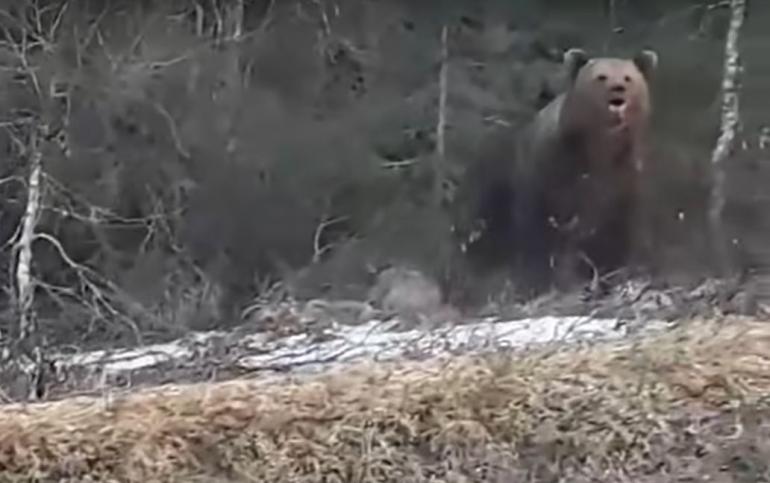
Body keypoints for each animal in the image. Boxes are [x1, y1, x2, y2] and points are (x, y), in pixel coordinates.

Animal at [511, 47, 658, 295]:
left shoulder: (626, 179)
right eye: (601, 77)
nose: (617, 88)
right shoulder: (559, 173)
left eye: (628, 78)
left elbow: (623, 232)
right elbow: (564, 234)